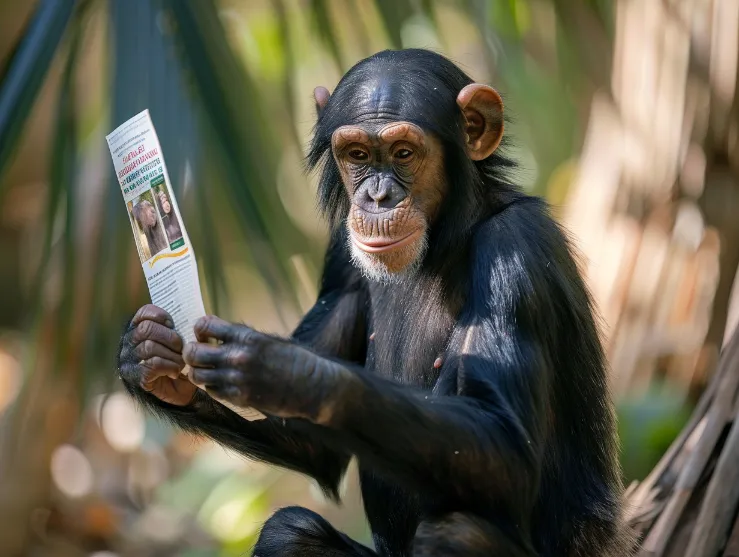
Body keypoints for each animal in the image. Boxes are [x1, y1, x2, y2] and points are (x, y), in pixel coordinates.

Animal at [117, 50, 636, 552]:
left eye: (404, 153)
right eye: (358, 154)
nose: (377, 196)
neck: (444, 236)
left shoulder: (517, 251)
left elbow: (508, 448)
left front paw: (291, 372)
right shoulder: (340, 260)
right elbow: (313, 446)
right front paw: (148, 354)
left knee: (455, 532)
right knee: (288, 532)